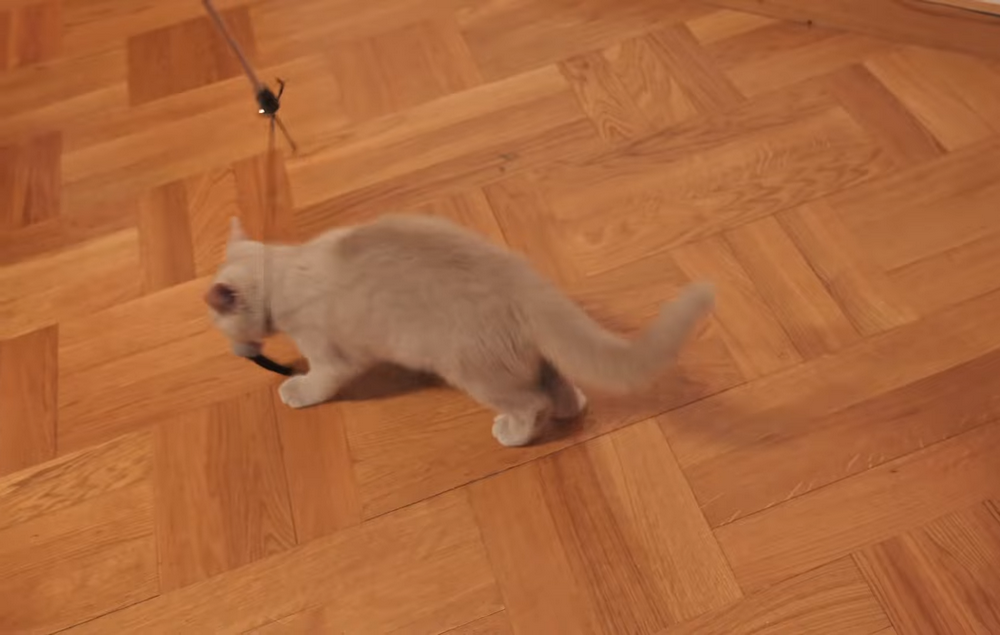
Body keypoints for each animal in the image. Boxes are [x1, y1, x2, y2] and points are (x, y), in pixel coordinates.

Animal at [205, 214, 715, 447]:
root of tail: (521, 278)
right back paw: (572, 409)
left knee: (532, 401)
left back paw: (513, 433)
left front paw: (295, 389)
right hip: (524, 355)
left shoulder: (330, 355)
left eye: (217, 323)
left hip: (475, 370)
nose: (238, 352)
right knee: (558, 382)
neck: (286, 266)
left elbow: (320, 379)